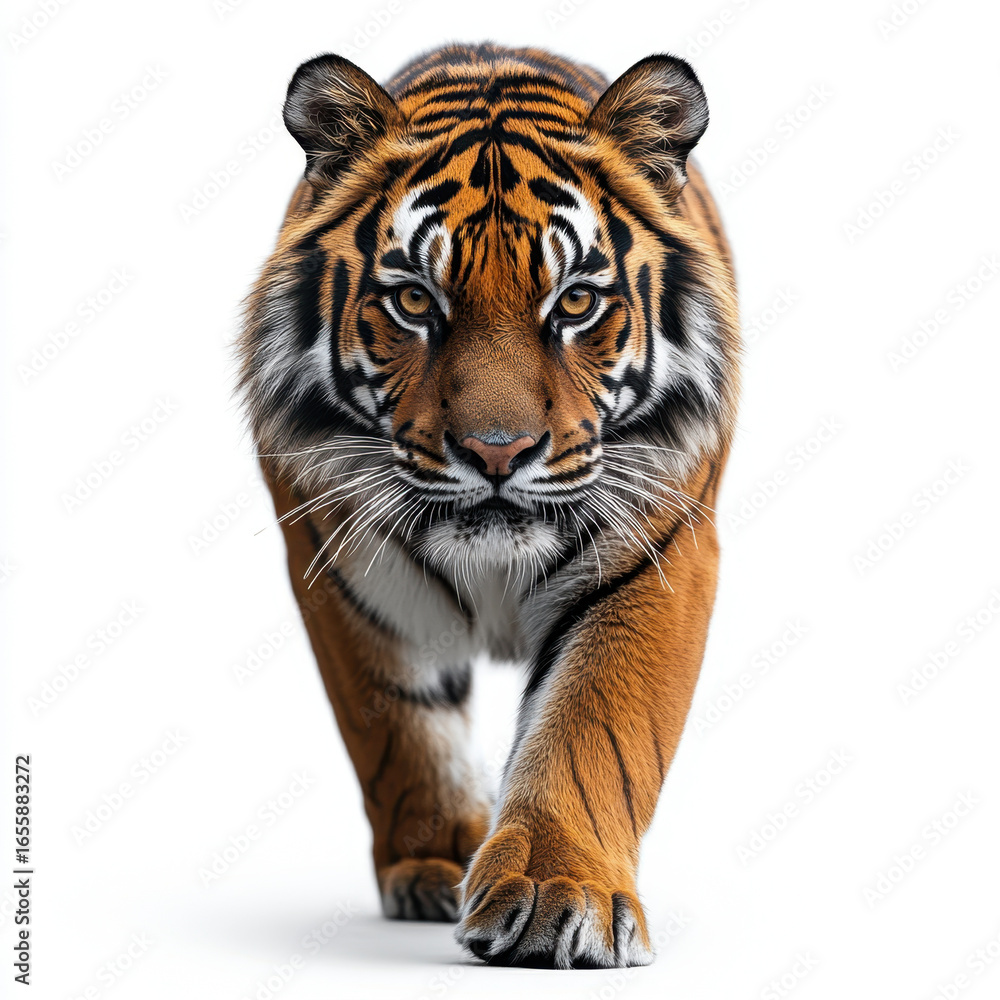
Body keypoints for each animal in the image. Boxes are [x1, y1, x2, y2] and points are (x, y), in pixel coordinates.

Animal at [236, 42, 739, 969]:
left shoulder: (661, 549)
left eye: (575, 302)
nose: (497, 451)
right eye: (414, 301)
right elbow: (403, 728)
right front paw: (435, 863)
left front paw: (555, 891)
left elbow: (592, 724)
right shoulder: (341, 559)